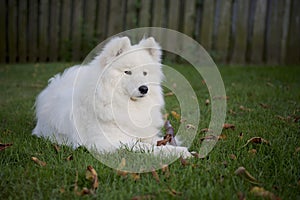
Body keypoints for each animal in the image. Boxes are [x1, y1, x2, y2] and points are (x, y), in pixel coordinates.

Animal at [32, 36, 191, 158]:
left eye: (145, 73)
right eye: (127, 72)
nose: (144, 89)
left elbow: (155, 141)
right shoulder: (109, 142)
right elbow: (146, 147)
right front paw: (180, 152)